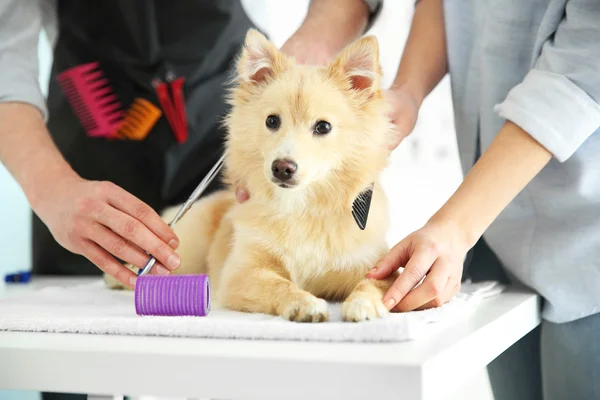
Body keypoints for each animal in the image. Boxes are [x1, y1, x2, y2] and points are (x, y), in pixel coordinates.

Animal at [107, 28, 398, 322]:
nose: (282, 167)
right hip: (181, 252)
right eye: (272, 121)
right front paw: (303, 303)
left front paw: (362, 304)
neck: (301, 207)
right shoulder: (241, 272)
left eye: (323, 127)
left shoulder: (376, 265)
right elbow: (279, 284)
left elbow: (373, 282)